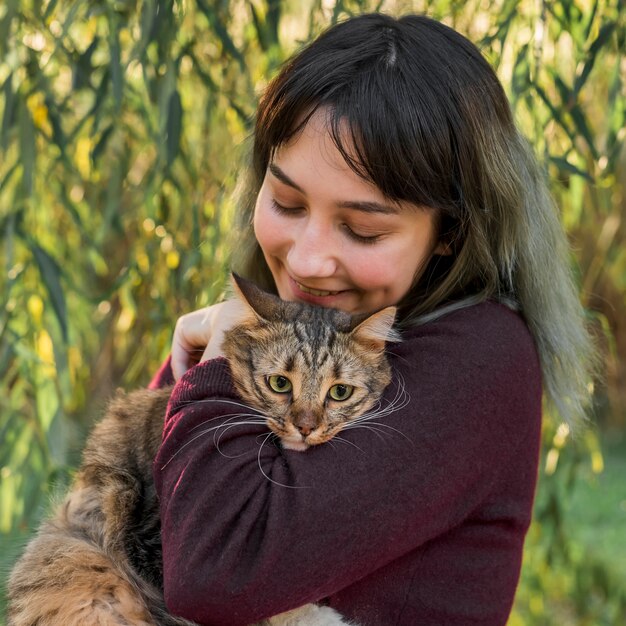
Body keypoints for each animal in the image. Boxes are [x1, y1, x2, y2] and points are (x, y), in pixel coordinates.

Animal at [7, 276, 398, 624]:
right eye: (279, 384)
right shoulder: (150, 539)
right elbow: (254, 606)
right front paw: (317, 616)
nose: (305, 427)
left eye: (340, 392)